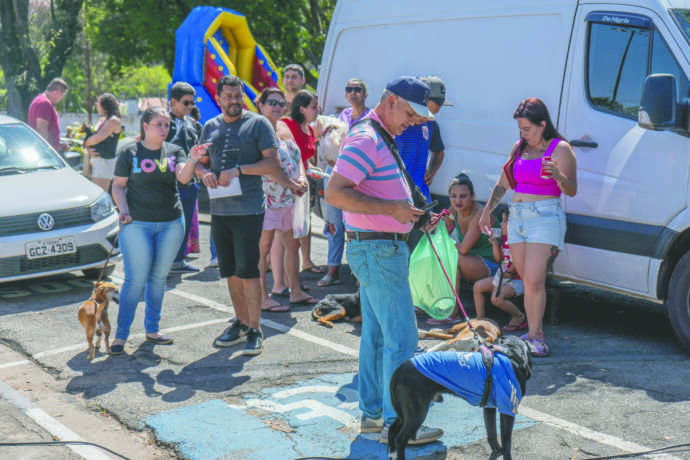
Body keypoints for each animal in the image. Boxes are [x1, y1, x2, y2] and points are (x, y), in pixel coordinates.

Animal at [388, 334, 532, 460]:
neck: (511, 354)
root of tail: (399, 370)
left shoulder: (489, 408)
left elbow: (491, 432)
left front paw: (497, 450)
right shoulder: (508, 410)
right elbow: (507, 442)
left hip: (407, 411)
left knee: (392, 429)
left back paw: (391, 453)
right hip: (416, 413)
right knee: (400, 439)